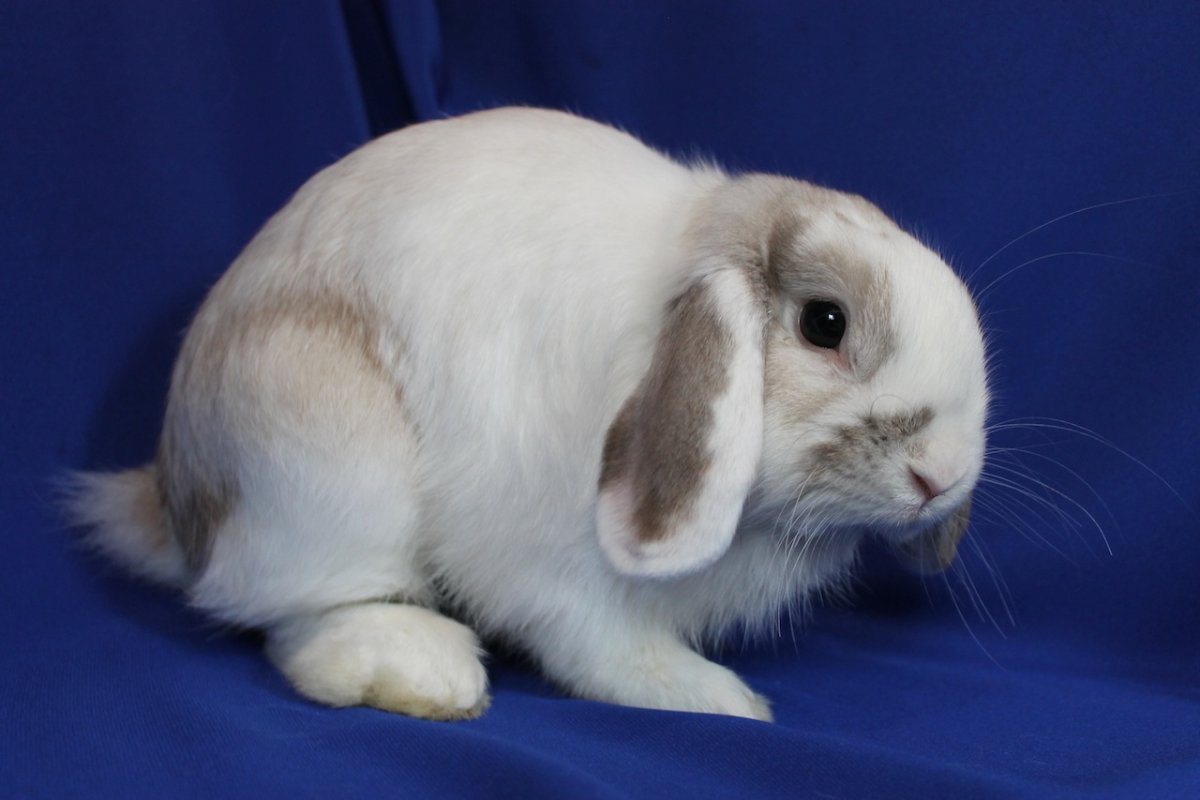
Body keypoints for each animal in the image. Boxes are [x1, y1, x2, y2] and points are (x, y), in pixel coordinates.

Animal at [66, 107, 989, 722]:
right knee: (296, 617)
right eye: (824, 323)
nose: (941, 477)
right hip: (323, 454)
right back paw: (427, 676)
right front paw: (722, 702)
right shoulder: (555, 567)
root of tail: (172, 502)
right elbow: (601, 647)